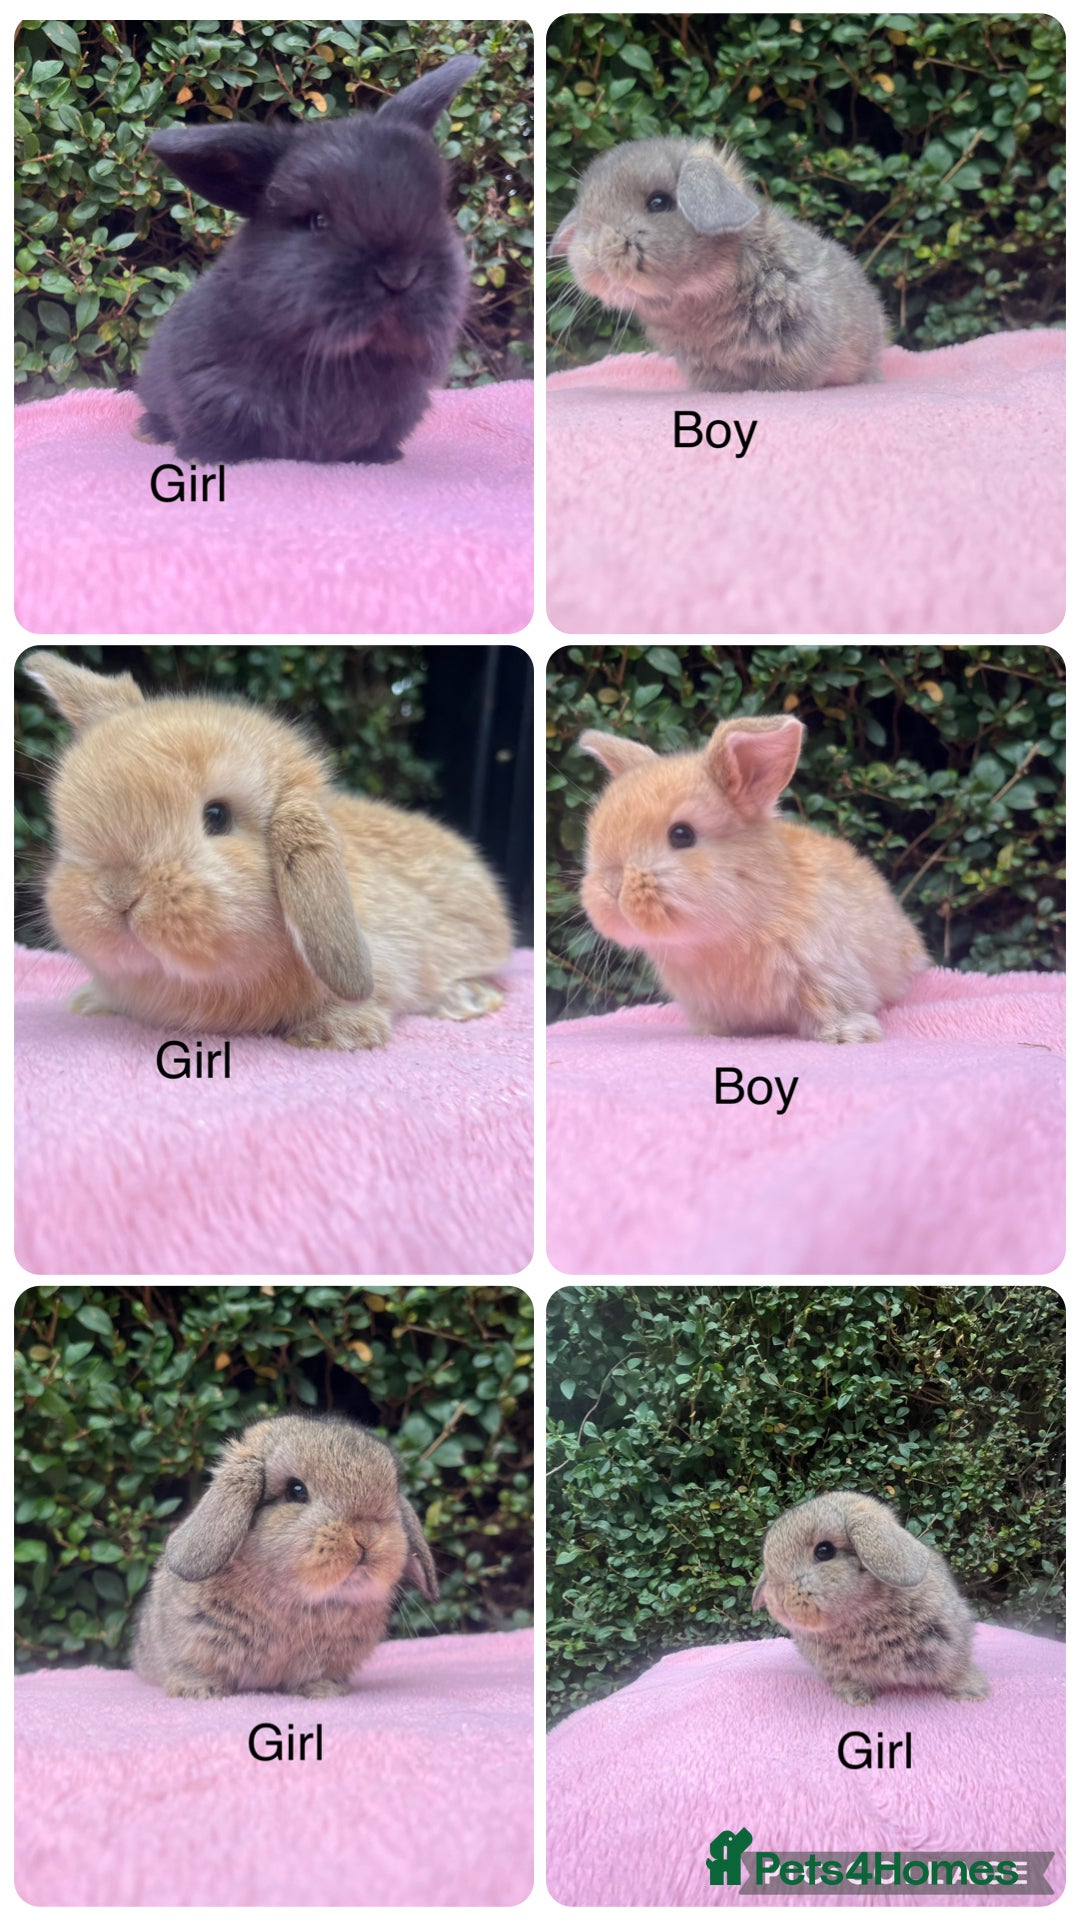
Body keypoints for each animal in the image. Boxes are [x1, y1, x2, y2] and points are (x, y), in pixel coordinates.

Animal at [132, 1413, 439, 1698]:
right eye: (296, 1490)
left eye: (393, 1491)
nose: (366, 1536)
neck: (293, 1600)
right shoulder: (193, 1641)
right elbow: (194, 1668)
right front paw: (199, 1692)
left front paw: (325, 1691)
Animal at [136, 53, 479, 463]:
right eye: (317, 221)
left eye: (437, 207)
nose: (400, 275)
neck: (345, 361)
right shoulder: (209, 389)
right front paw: (206, 456)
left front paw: (378, 457)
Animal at [579, 712, 926, 1044]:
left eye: (681, 834)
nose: (611, 886)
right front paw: (712, 1033)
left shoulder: (828, 974)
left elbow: (831, 1005)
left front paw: (850, 1035)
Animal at [752, 1491, 989, 1705]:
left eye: (824, 1550)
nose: (779, 1597)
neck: (862, 1616)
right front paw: (854, 1697)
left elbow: (955, 1671)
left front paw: (974, 1691)